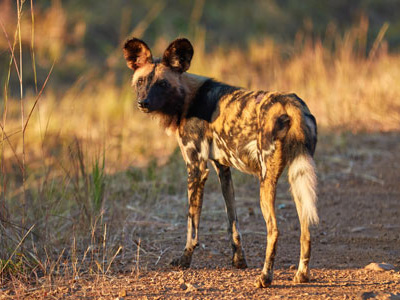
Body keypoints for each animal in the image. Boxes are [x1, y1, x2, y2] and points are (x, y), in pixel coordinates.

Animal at [123, 38, 318, 288]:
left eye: (162, 84)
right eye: (141, 81)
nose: (143, 102)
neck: (188, 99)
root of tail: (291, 106)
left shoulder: (196, 168)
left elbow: (192, 225)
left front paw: (184, 260)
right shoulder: (223, 169)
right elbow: (232, 221)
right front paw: (239, 261)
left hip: (266, 182)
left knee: (274, 230)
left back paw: (265, 276)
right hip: (297, 177)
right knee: (306, 226)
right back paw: (302, 275)